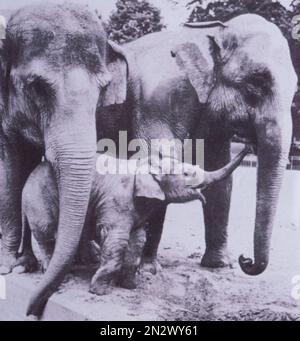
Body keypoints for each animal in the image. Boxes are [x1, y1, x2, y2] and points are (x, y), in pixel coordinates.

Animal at [0, 3, 127, 316]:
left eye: (103, 88)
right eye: (37, 87)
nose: (30, 311)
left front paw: (28, 265)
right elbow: (10, 169)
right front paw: (9, 267)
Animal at [19, 148, 248, 294]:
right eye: (186, 173)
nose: (249, 145)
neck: (144, 164)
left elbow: (138, 240)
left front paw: (129, 286)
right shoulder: (117, 200)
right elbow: (117, 240)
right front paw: (99, 291)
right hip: (38, 197)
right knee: (47, 233)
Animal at [97, 14, 296, 276]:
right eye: (257, 81)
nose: (245, 260)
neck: (213, 31)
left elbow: (219, 174)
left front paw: (219, 265)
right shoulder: (159, 98)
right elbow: (158, 159)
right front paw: (147, 269)